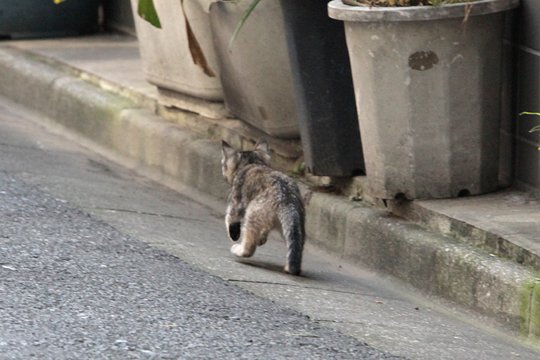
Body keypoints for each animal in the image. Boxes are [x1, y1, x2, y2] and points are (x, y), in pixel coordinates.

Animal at [219, 139, 304, 274]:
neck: (252, 162)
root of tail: (286, 199)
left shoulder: (236, 204)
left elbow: (230, 220)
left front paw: (234, 235)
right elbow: (264, 231)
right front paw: (262, 239)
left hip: (252, 215)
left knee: (249, 246)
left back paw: (238, 249)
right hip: (295, 227)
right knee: (295, 246)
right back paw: (291, 267)